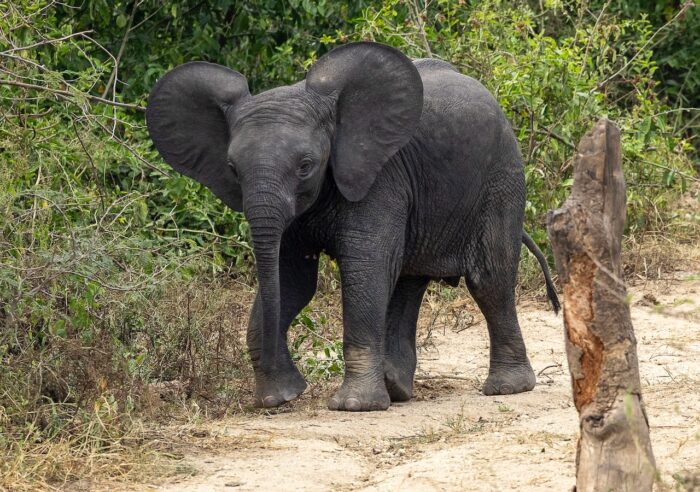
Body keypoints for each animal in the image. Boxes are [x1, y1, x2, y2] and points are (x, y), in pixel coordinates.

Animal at [146, 41, 560, 412]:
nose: (279, 396)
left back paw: (507, 388)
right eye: (233, 169)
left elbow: (365, 266)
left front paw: (354, 406)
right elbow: (291, 278)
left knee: (489, 278)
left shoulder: (381, 174)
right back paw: (397, 388)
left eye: (306, 166)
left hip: (502, 178)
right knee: (409, 280)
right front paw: (280, 397)